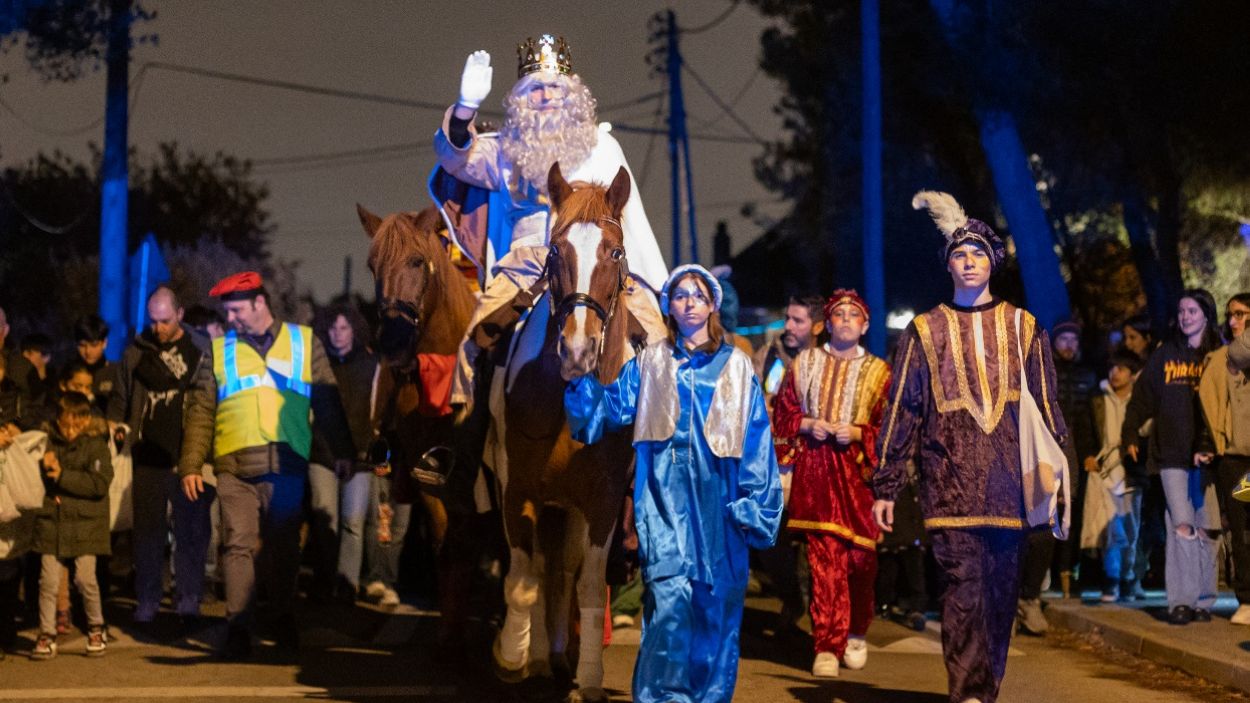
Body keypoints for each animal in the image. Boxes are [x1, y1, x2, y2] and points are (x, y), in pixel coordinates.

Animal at [487, 161, 650, 695]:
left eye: (615, 252)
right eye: (556, 250)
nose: (577, 351)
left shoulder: (601, 502)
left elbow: (589, 585)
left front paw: (589, 680)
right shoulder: (517, 490)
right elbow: (524, 579)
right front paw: (512, 656)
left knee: (564, 571)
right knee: (541, 570)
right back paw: (538, 656)